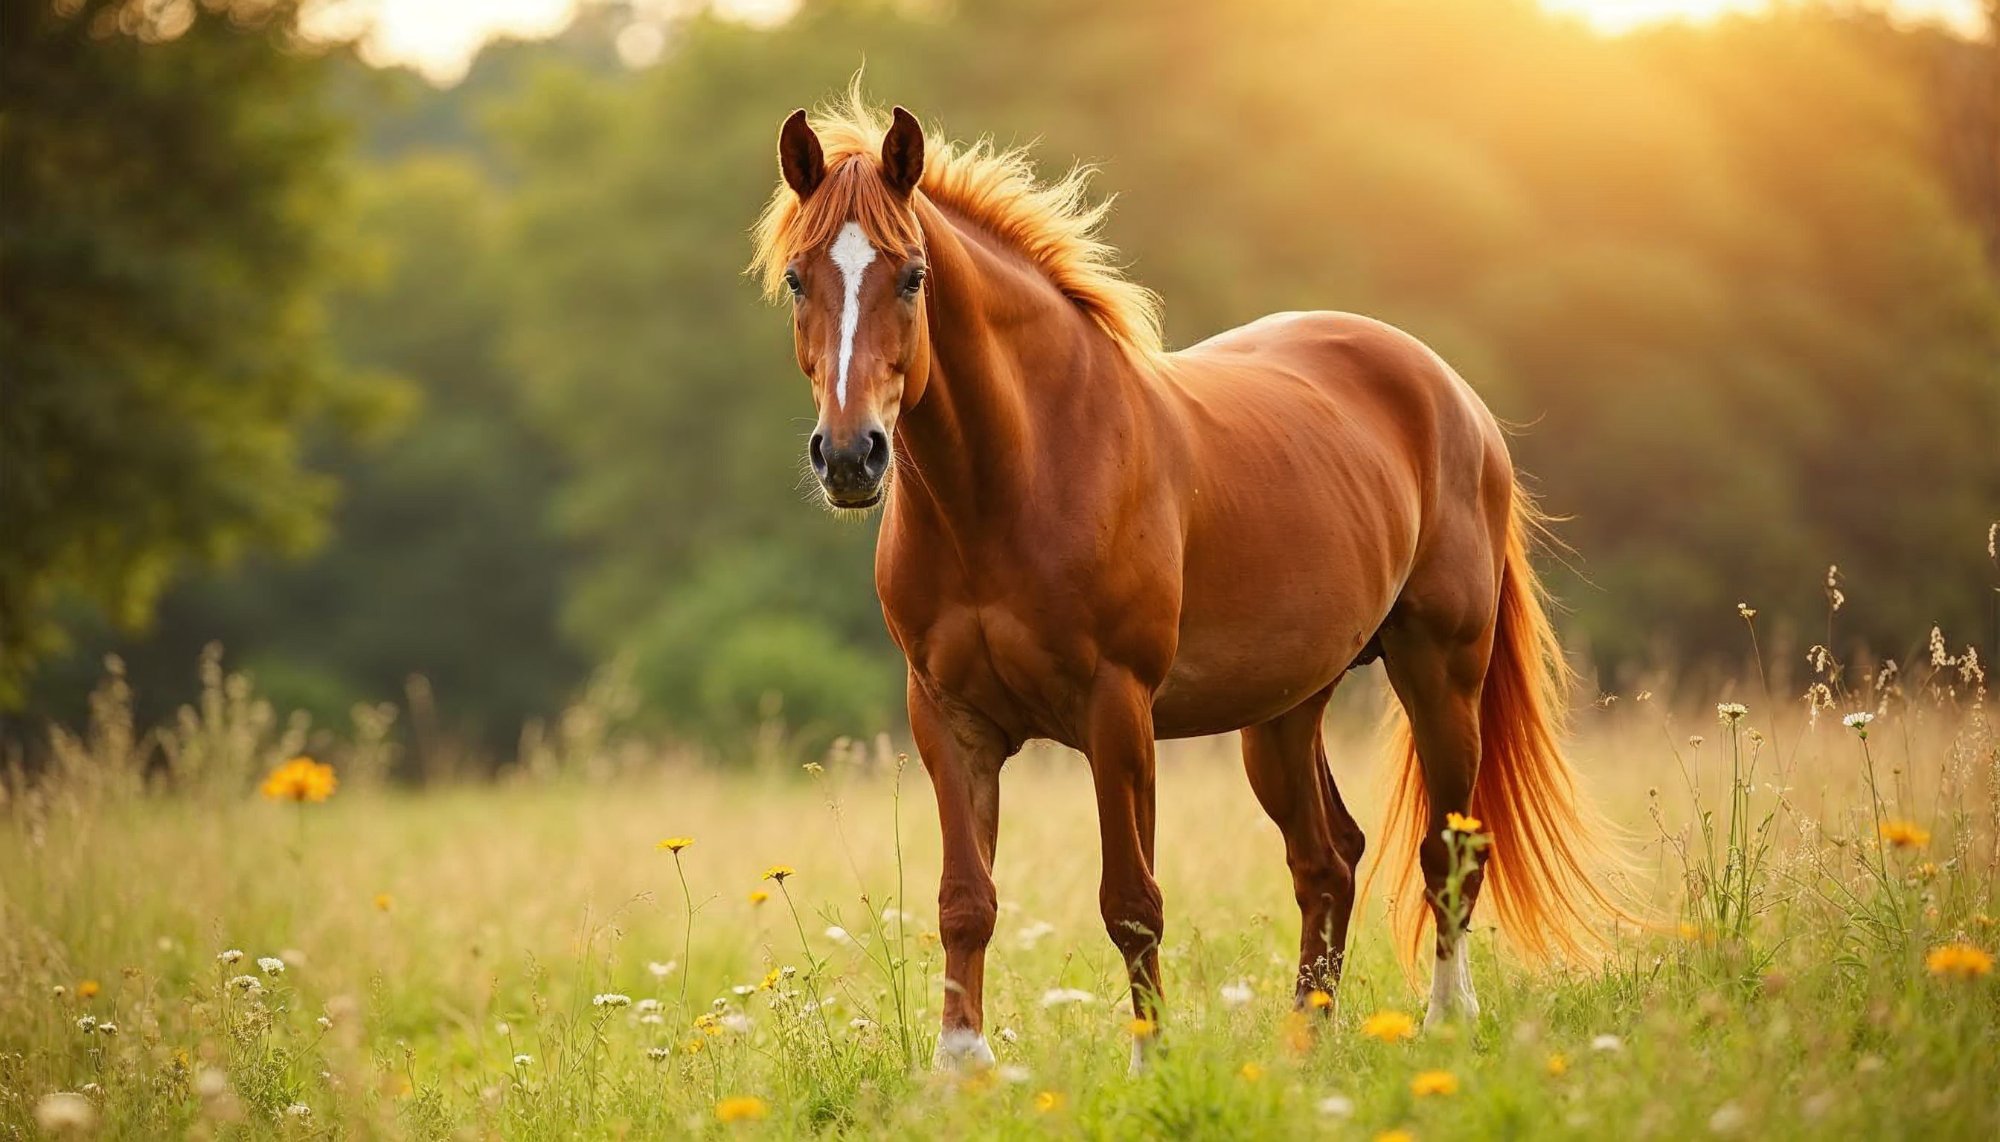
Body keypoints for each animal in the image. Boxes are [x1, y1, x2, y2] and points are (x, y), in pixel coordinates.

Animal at [751, 94, 1620, 1070]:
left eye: (911, 276)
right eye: (798, 280)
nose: (850, 457)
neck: (1019, 477)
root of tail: (1452, 394)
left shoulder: (1118, 711)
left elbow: (1131, 901)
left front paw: (1147, 1062)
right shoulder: (949, 719)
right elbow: (964, 900)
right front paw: (960, 1070)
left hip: (1441, 673)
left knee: (1447, 853)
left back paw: (1445, 1022)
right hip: (1284, 711)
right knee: (1328, 859)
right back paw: (1304, 1043)